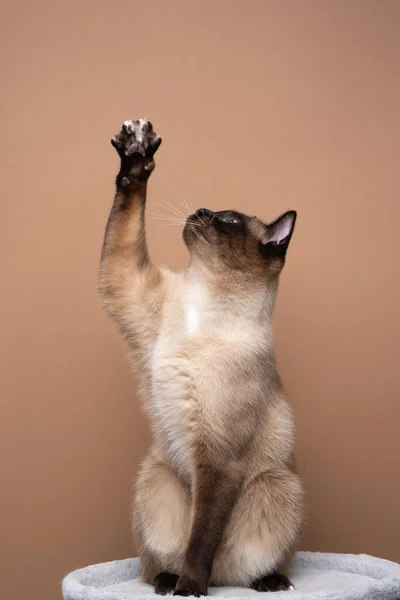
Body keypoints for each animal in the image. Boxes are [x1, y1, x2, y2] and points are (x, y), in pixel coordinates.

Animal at [98, 117, 304, 596]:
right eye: (215, 212)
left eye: (228, 221)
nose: (201, 211)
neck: (204, 302)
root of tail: (225, 579)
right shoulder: (125, 280)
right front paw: (137, 153)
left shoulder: (219, 457)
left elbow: (203, 535)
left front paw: (191, 589)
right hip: (156, 474)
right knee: (160, 559)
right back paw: (166, 581)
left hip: (276, 485)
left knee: (238, 562)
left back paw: (260, 581)